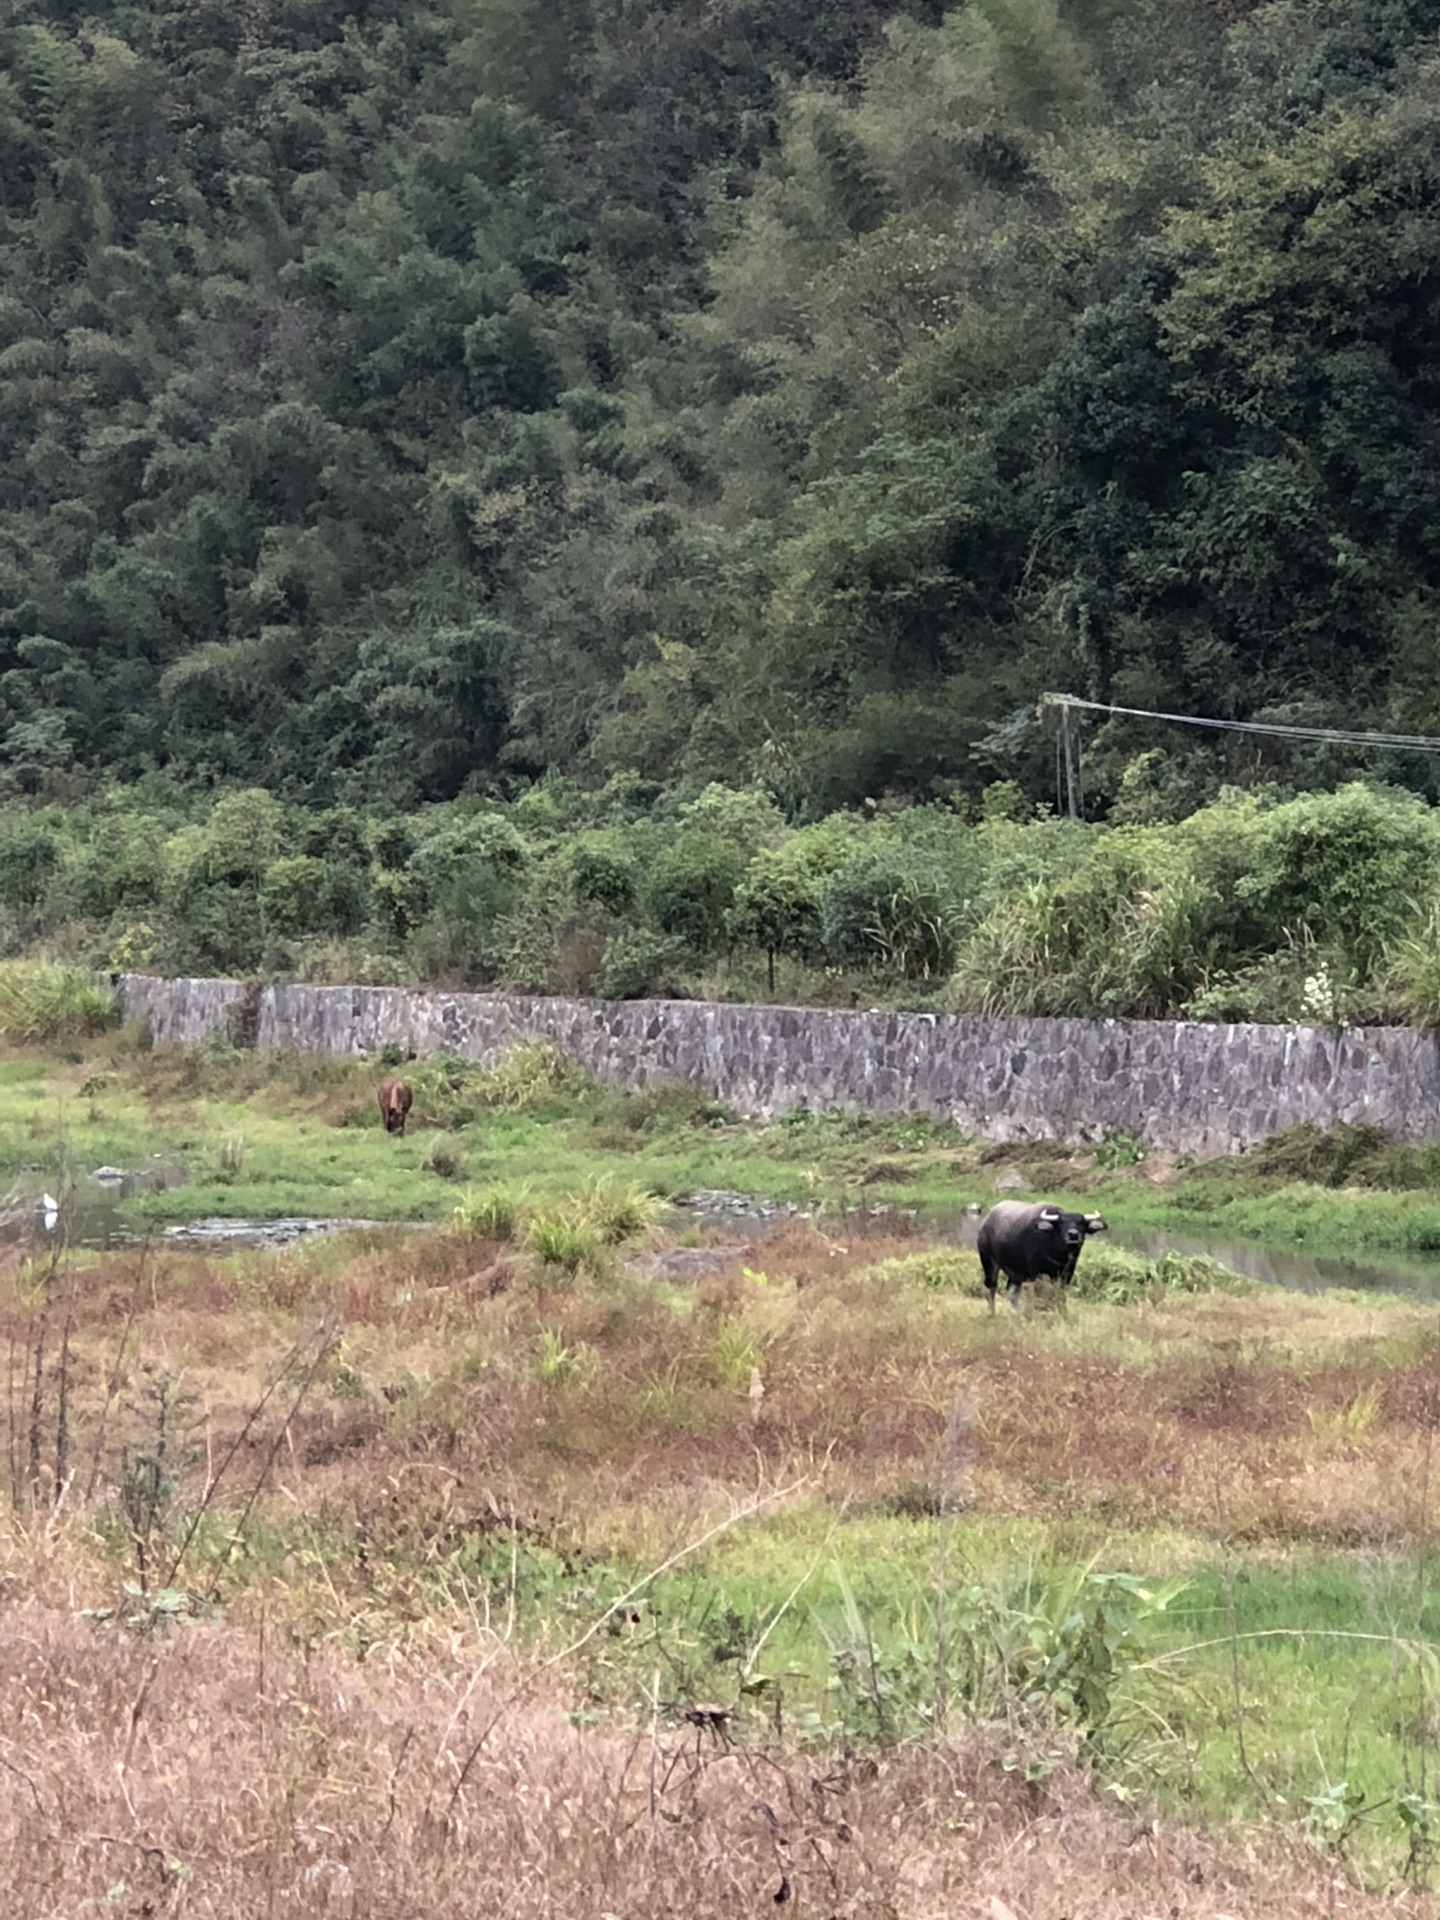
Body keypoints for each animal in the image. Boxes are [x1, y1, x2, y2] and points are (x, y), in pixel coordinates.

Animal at [975, 1190, 1113, 1313]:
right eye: (1062, 1223)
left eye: (1082, 1223)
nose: (1073, 1235)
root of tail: (986, 1222)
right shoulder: (1037, 1273)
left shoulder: (1066, 1274)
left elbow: (1060, 1296)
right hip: (988, 1261)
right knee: (992, 1287)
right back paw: (992, 1313)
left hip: (1016, 1273)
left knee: (1012, 1291)